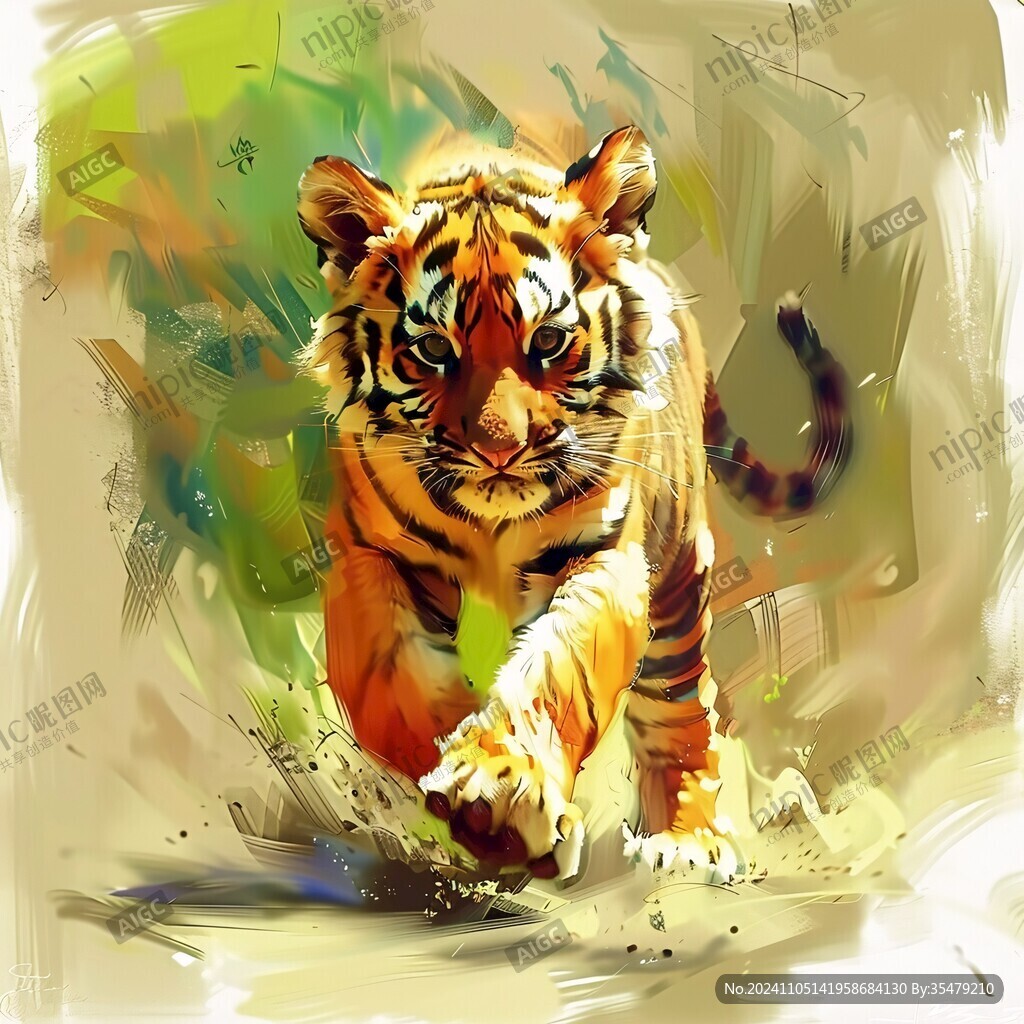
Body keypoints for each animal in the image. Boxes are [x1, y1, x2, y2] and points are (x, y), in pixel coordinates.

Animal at [296, 125, 850, 880]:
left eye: (549, 341)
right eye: (434, 348)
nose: (499, 450)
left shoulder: (602, 554)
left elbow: (559, 672)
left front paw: (498, 791)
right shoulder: (368, 553)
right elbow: (388, 683)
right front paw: (455, 766)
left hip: (678, 578)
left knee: (682, 707)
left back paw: (690, 840)